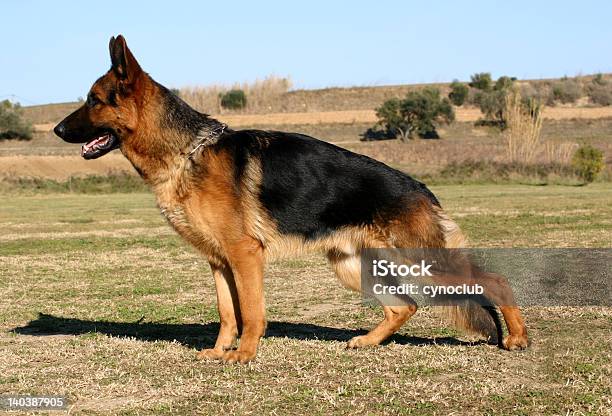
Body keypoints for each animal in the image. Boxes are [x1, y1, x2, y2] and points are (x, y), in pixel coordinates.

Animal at [55, 35, 528, 362]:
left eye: (93, 101)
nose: (57, 130)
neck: (186, 151)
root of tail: (424, 190)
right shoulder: (218, 261)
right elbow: (228, 312)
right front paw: (219, 351)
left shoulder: (245, 255)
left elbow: (250, 311)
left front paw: (244, 355)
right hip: (354, 267)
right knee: (403, 306)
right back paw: (366, 342)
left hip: (421, 260)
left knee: (494, 280)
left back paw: (518, 337)